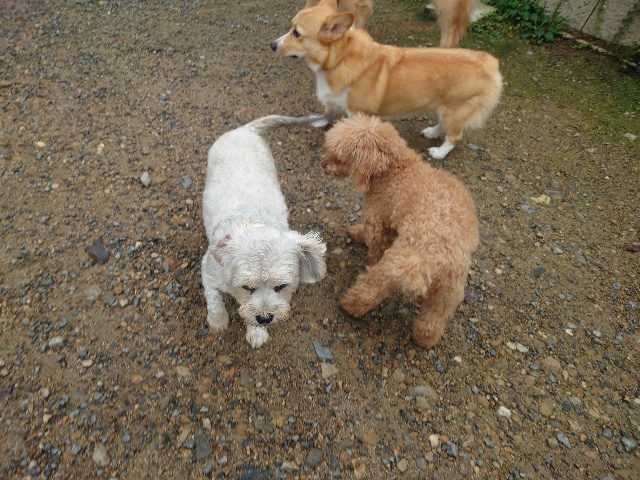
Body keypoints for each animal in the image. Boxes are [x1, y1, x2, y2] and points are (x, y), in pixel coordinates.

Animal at [201, 114, 327, 349]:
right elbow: (214, 301)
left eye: (282, 286)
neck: (253, 219)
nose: (264, 317)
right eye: (246, 287)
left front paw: (257, 331)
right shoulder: (209, 272)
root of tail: (245, 129)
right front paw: (218, 321)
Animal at [270, 5, 502, 159]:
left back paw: (438, 152)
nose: (272, 45)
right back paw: (431, 133)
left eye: (296, 33)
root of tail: (489, 62)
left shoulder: (358, 112)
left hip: (455, 110)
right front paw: (320, 121)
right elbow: (329, 109)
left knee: (454, 137)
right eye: (291, 28)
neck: (339, 58)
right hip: (445, 108)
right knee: (443, 125)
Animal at [322, 114, 479, 348]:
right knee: (433, 319)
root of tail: (431, 261)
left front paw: (358, 235)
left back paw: (348, 305)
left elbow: (371, 240)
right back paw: (424, 339)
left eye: (339, 157)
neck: (393, 171)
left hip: (390, 269)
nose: (323, 164)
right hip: (448, 293)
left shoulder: (378, 221)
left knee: (369, 291)